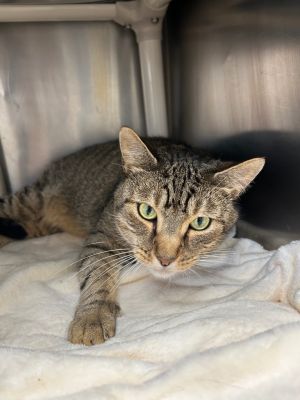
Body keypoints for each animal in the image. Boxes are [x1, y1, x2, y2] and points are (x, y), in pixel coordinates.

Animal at [0, 127, 264, 344]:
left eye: (200, 223)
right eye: (147, 211)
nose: (165, 260)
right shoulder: (101, 235)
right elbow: (98, 271)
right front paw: (92, 316)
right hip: (30, 200)